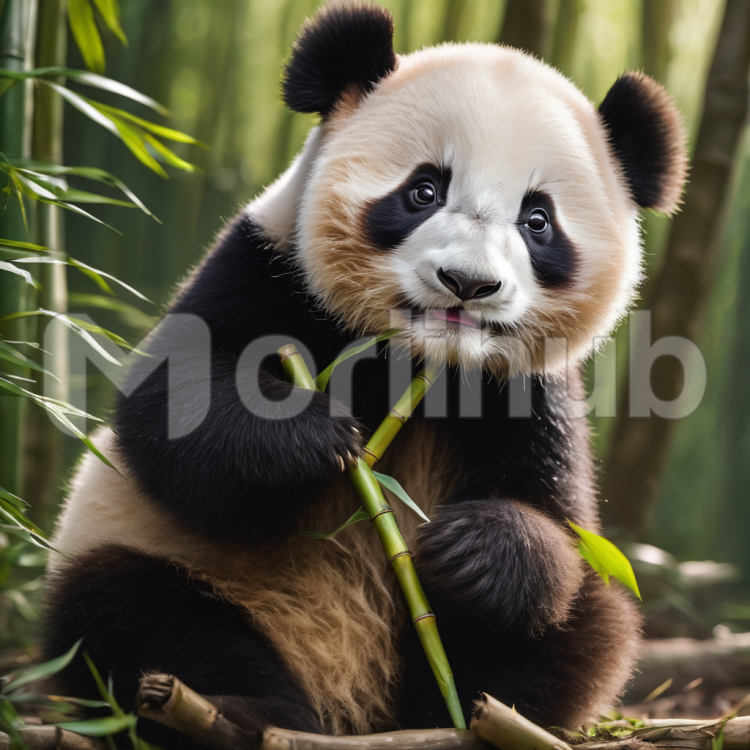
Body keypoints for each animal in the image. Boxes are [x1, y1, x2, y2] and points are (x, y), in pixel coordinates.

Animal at [43, 2, 688, 747]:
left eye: (538, 220)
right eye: (423, 190)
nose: (468, 284)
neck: (413, 360)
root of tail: (350, 707)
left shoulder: (529, 386)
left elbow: (551, 511)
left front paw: (473, 548)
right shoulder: (266, 266)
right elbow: (172, 408)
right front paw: (314, 437)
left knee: (584, 625)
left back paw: (470, 713)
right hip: (164, 563)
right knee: (133, 614)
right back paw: (240, 713)